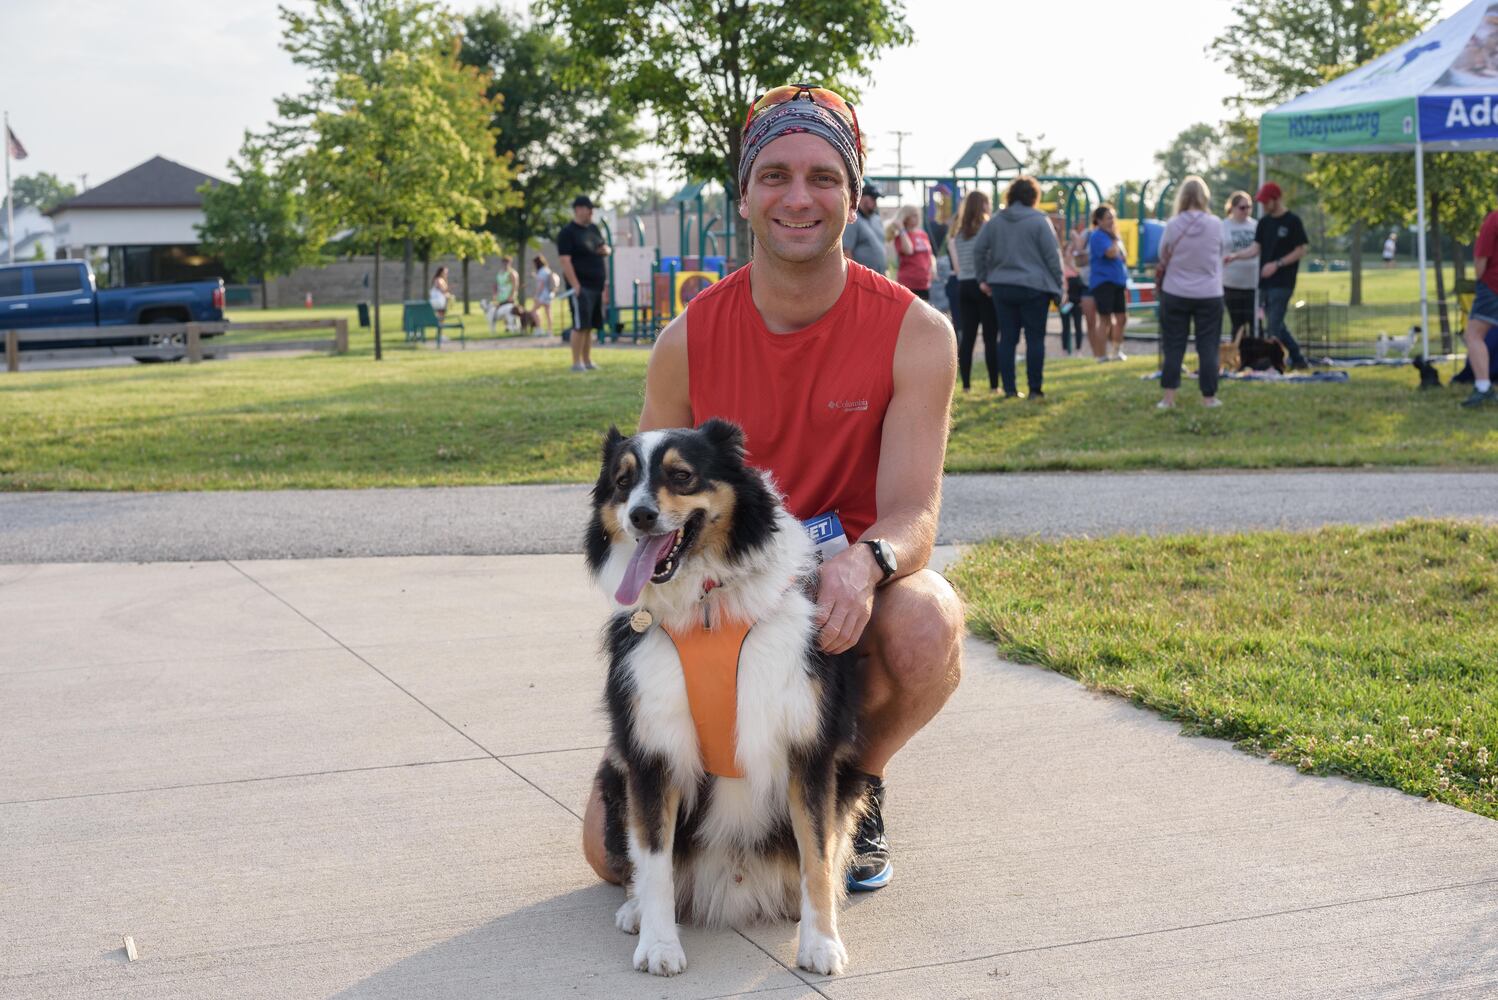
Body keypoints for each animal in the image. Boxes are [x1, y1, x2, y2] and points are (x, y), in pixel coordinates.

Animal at [584, 419, 868, 976]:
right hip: (613, 774)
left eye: (681, 475)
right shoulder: (651, 752)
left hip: (850, 780)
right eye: (623, 483)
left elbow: (818, 857)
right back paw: (635, 911)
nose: (640, 515)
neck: (706, 607)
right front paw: (659, 945)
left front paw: (821, 944)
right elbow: (654, 860)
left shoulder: (808, 750)